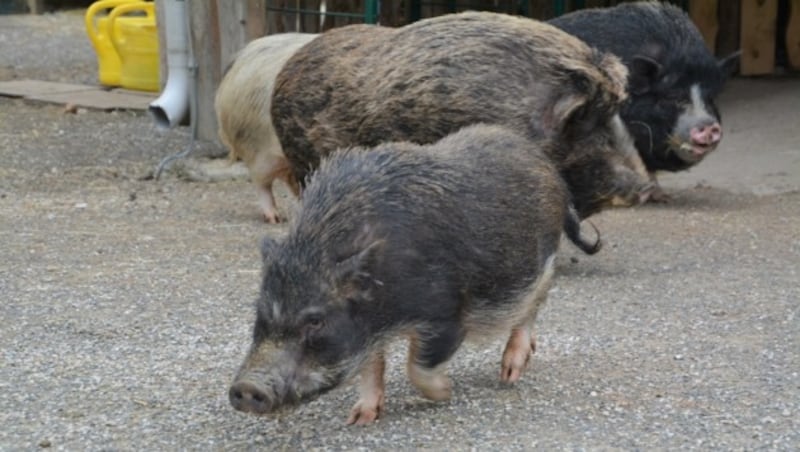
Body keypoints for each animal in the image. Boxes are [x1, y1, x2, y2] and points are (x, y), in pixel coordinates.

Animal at [228, 122, 604, 424]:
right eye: (260, 314)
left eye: (315, 320)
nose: (246, 387)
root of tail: (550, 169)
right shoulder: (368, 328)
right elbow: (372, 365)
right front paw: (359, 419)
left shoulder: (447, 312)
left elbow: (417, 365)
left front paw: (445, 392)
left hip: (540, 262)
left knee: (533, 304)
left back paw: (508, 375)